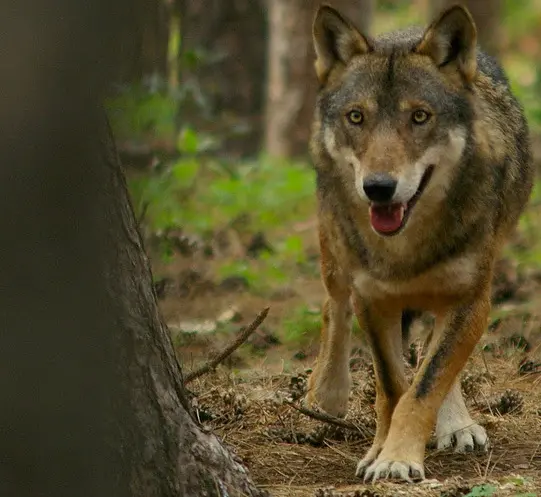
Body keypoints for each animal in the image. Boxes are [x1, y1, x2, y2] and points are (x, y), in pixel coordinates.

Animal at [304, 2, 532, 480]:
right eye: (357, 116)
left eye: (420, 116)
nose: (378, 188)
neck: (404, 250)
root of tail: (403, 30)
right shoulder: (372, 301)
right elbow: (393, 387)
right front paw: (379, 452)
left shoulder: (471, 299)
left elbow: (425, 384)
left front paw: (398, 458)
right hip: (334, 252)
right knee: (333, 306)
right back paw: (326, 394)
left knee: (436, 355)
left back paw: (458, 424)